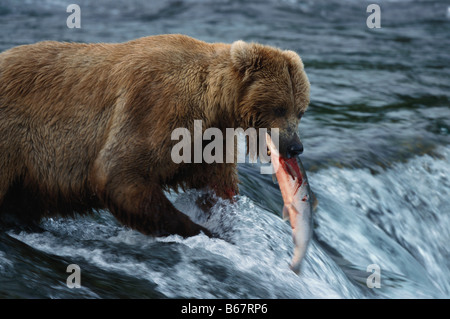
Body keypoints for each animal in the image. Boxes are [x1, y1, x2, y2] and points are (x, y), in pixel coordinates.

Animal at [0, 34, 310, 238]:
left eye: (301, 110)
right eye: (279, 108)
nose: (295, 147)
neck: (214, 105)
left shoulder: (211, 139)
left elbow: (217, 186)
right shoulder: (157, 106)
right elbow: (119, 172)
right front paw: (200, 230)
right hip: (11, 138)